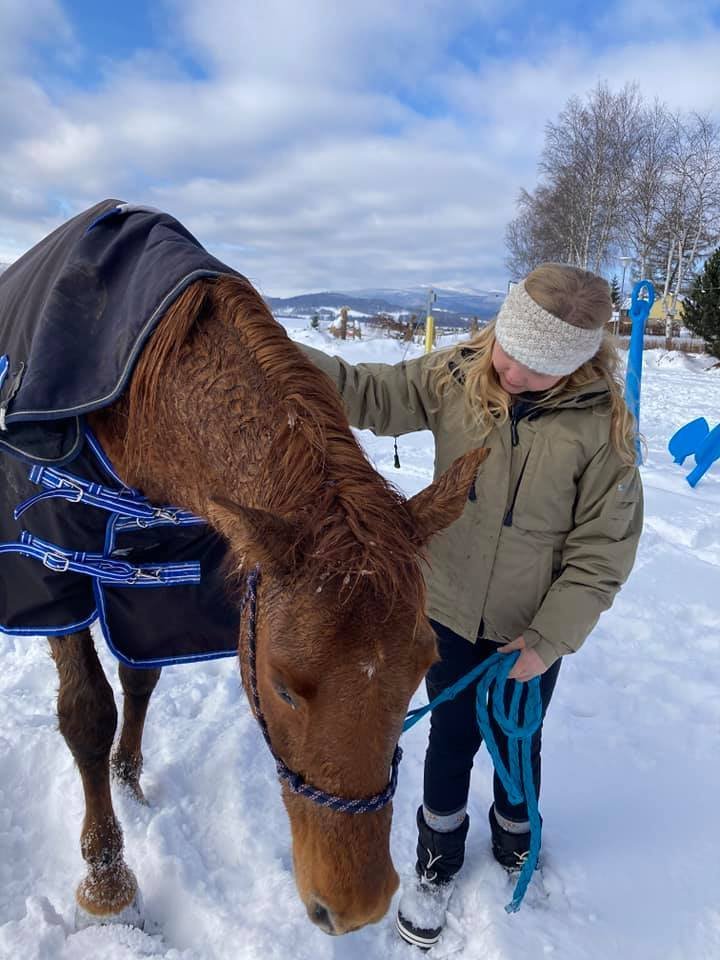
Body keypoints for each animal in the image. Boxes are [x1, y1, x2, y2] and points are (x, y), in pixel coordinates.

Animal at [46, 274, 490, 932]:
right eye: (281, 686)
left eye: (424, 671)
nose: (357, 907)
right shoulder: (48, 563)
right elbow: (87, 713)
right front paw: (108, 885)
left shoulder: (160, 570)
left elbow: (141, 676)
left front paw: (128, 778)